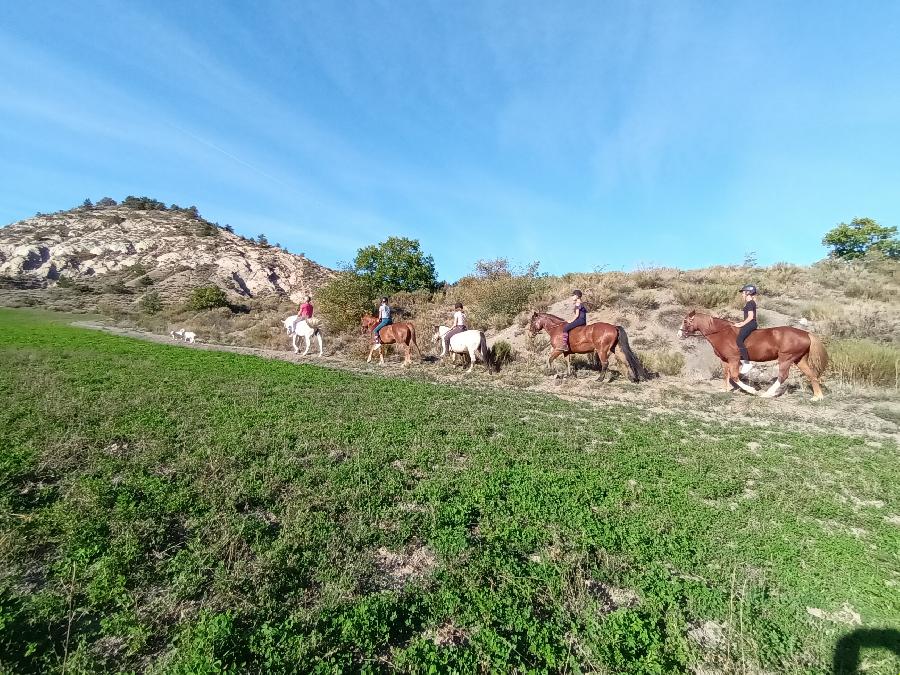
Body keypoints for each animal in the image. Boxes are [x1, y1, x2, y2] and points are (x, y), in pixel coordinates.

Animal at [676, 312, 828, 402]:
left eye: (685, 321)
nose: (679, 334)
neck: (721, 333)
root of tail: (806, 333)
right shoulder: (724, 360)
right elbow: (726, 374)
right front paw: (724, 389)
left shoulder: (733, 359)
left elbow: (734, 376)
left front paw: (752, 391)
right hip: (799, 359)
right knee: (812, 374)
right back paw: (817, 396)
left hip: (786, 358)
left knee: (783, 376)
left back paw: (767, 394)